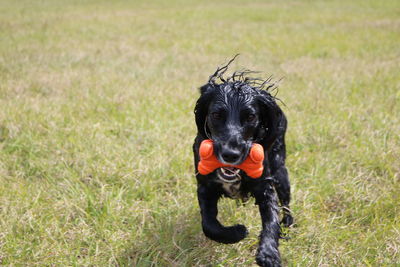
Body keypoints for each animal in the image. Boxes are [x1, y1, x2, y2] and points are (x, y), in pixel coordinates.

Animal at [192, 57, 292, 266]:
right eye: (216, 115)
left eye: (251, 116)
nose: (231, 154)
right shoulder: (205, 186)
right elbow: (208, 225)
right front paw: (236, 232)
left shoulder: (265, 187)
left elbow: (271, 221)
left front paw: (269, 253)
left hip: (280, 171)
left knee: (286, 203)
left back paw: (288, 224)